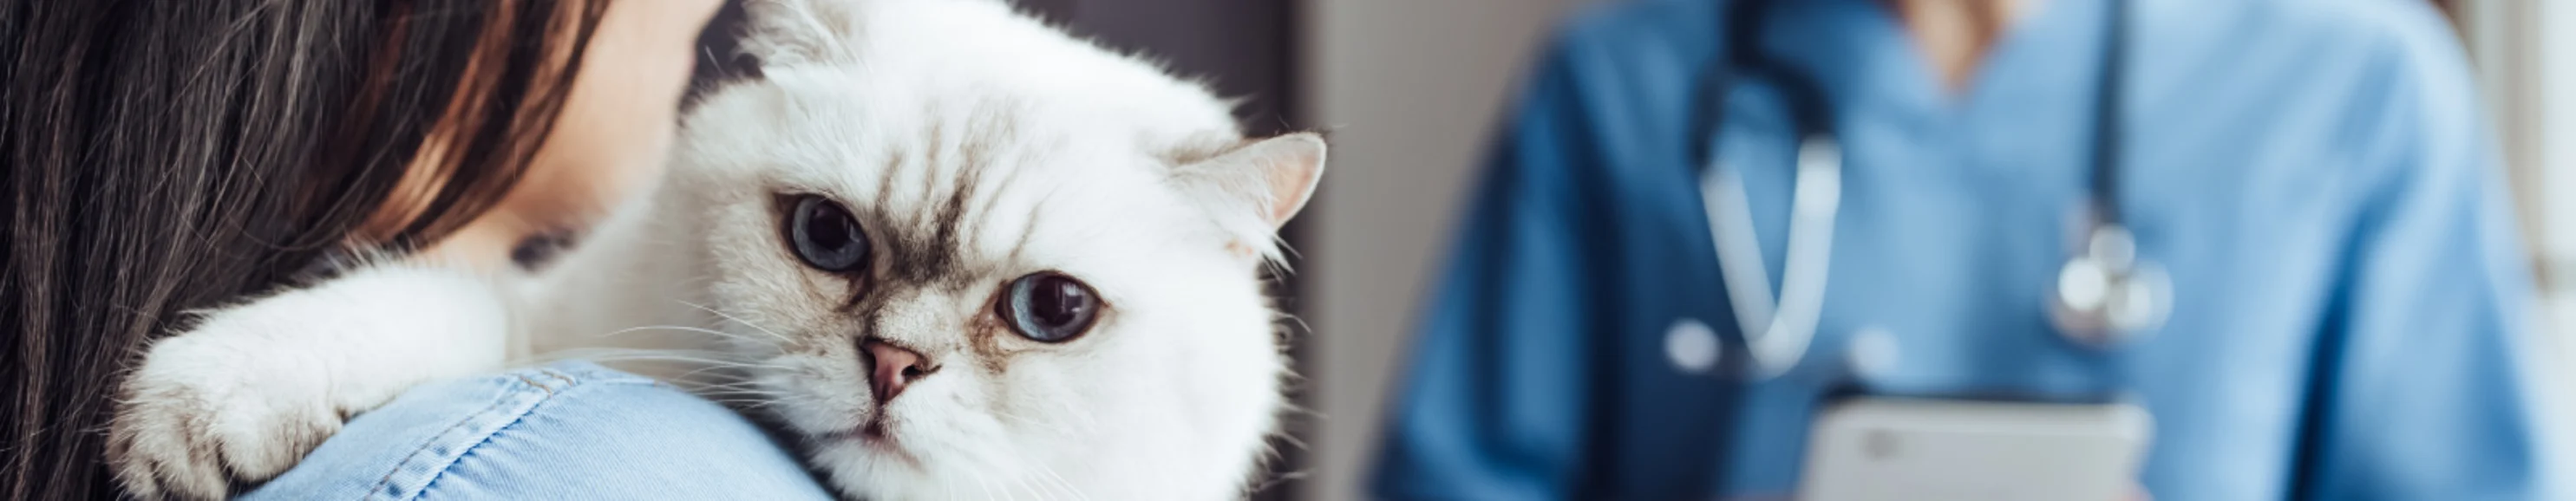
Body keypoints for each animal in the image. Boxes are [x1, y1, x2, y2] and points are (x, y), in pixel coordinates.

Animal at [108, 0, 1318, 498]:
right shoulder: (553, 323)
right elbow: (417, 307)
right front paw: (193, 422)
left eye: (1051, 310)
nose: (894, 366)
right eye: (827, 236)